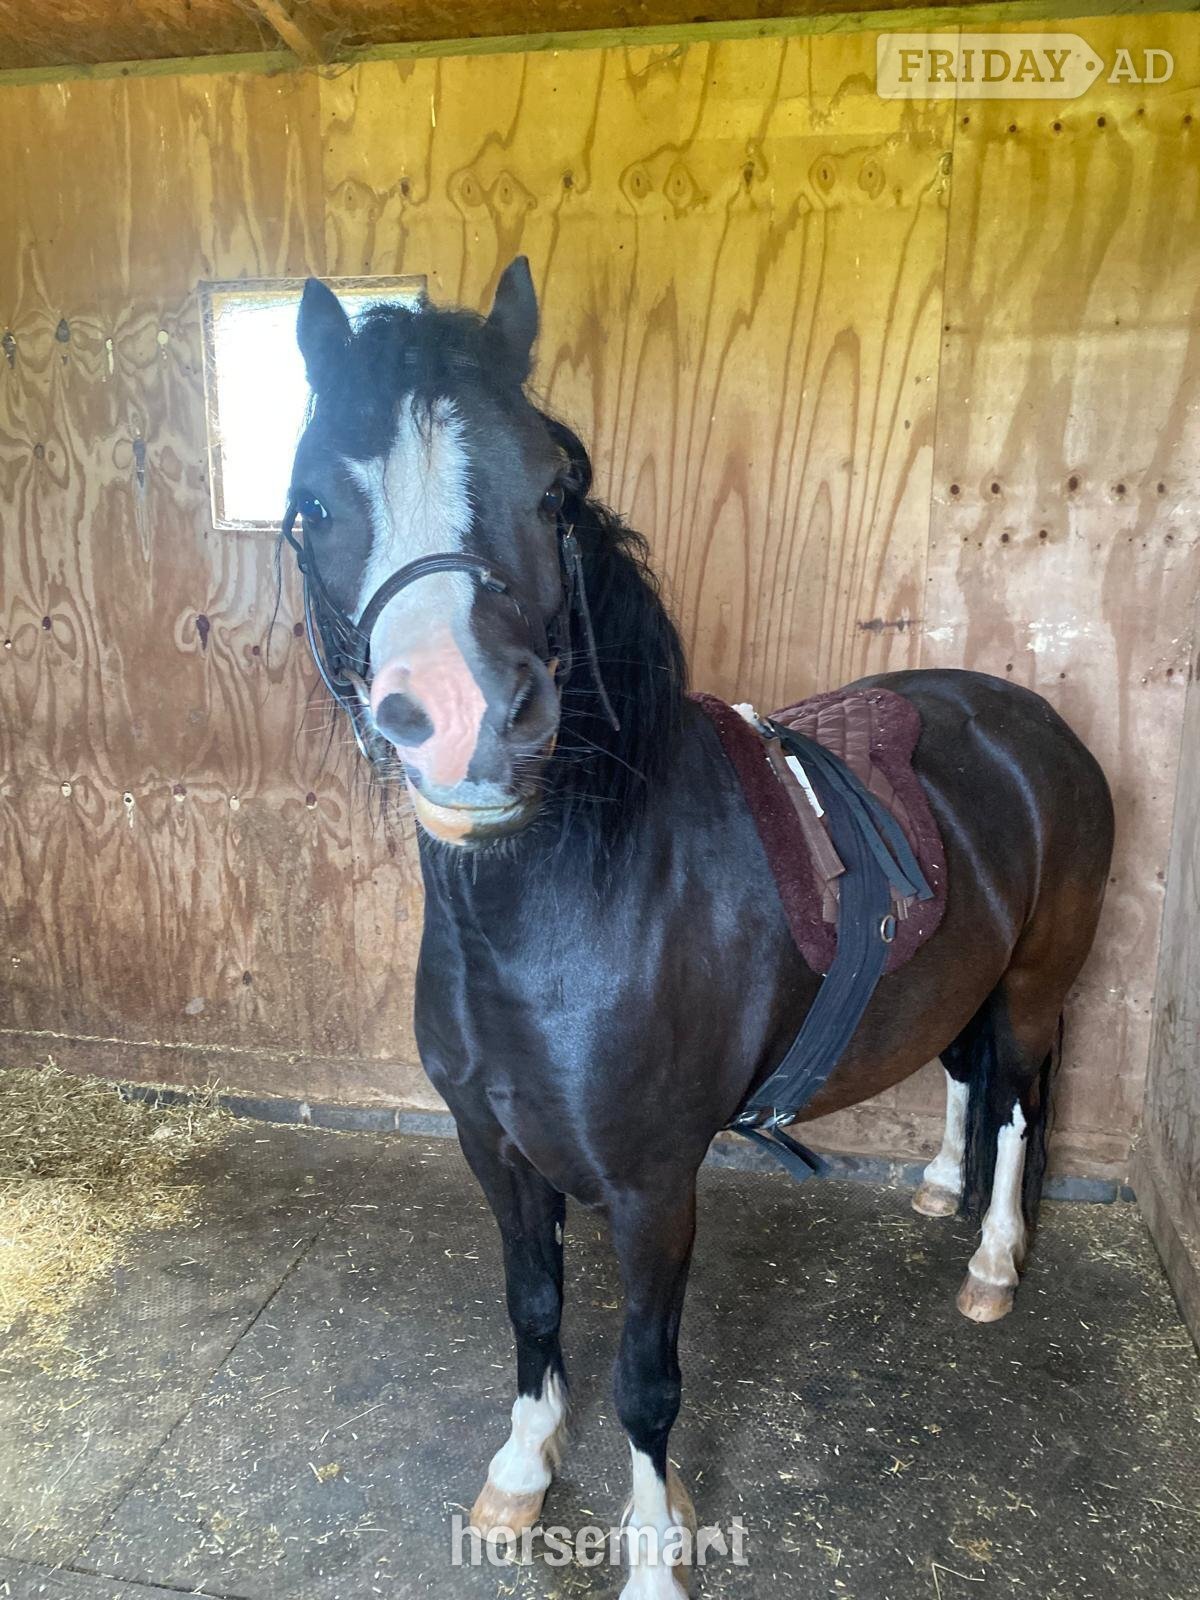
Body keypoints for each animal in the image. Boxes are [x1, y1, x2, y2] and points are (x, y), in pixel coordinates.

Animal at [282, 258, 1114, 1597]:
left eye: (553, 485)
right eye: (312, 502)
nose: (464, 722)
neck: (561, 909)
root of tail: (1032, 724)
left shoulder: (652, 1189)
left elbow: (646, 1381)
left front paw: (654, 1557)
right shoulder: (494, 1153)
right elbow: (531, 1310)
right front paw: (521, 1474)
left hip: (1039, 984)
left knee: (1022, 1101)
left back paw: (990, 1264)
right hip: (961, 976)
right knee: (962, 1072)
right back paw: (937, 1187)